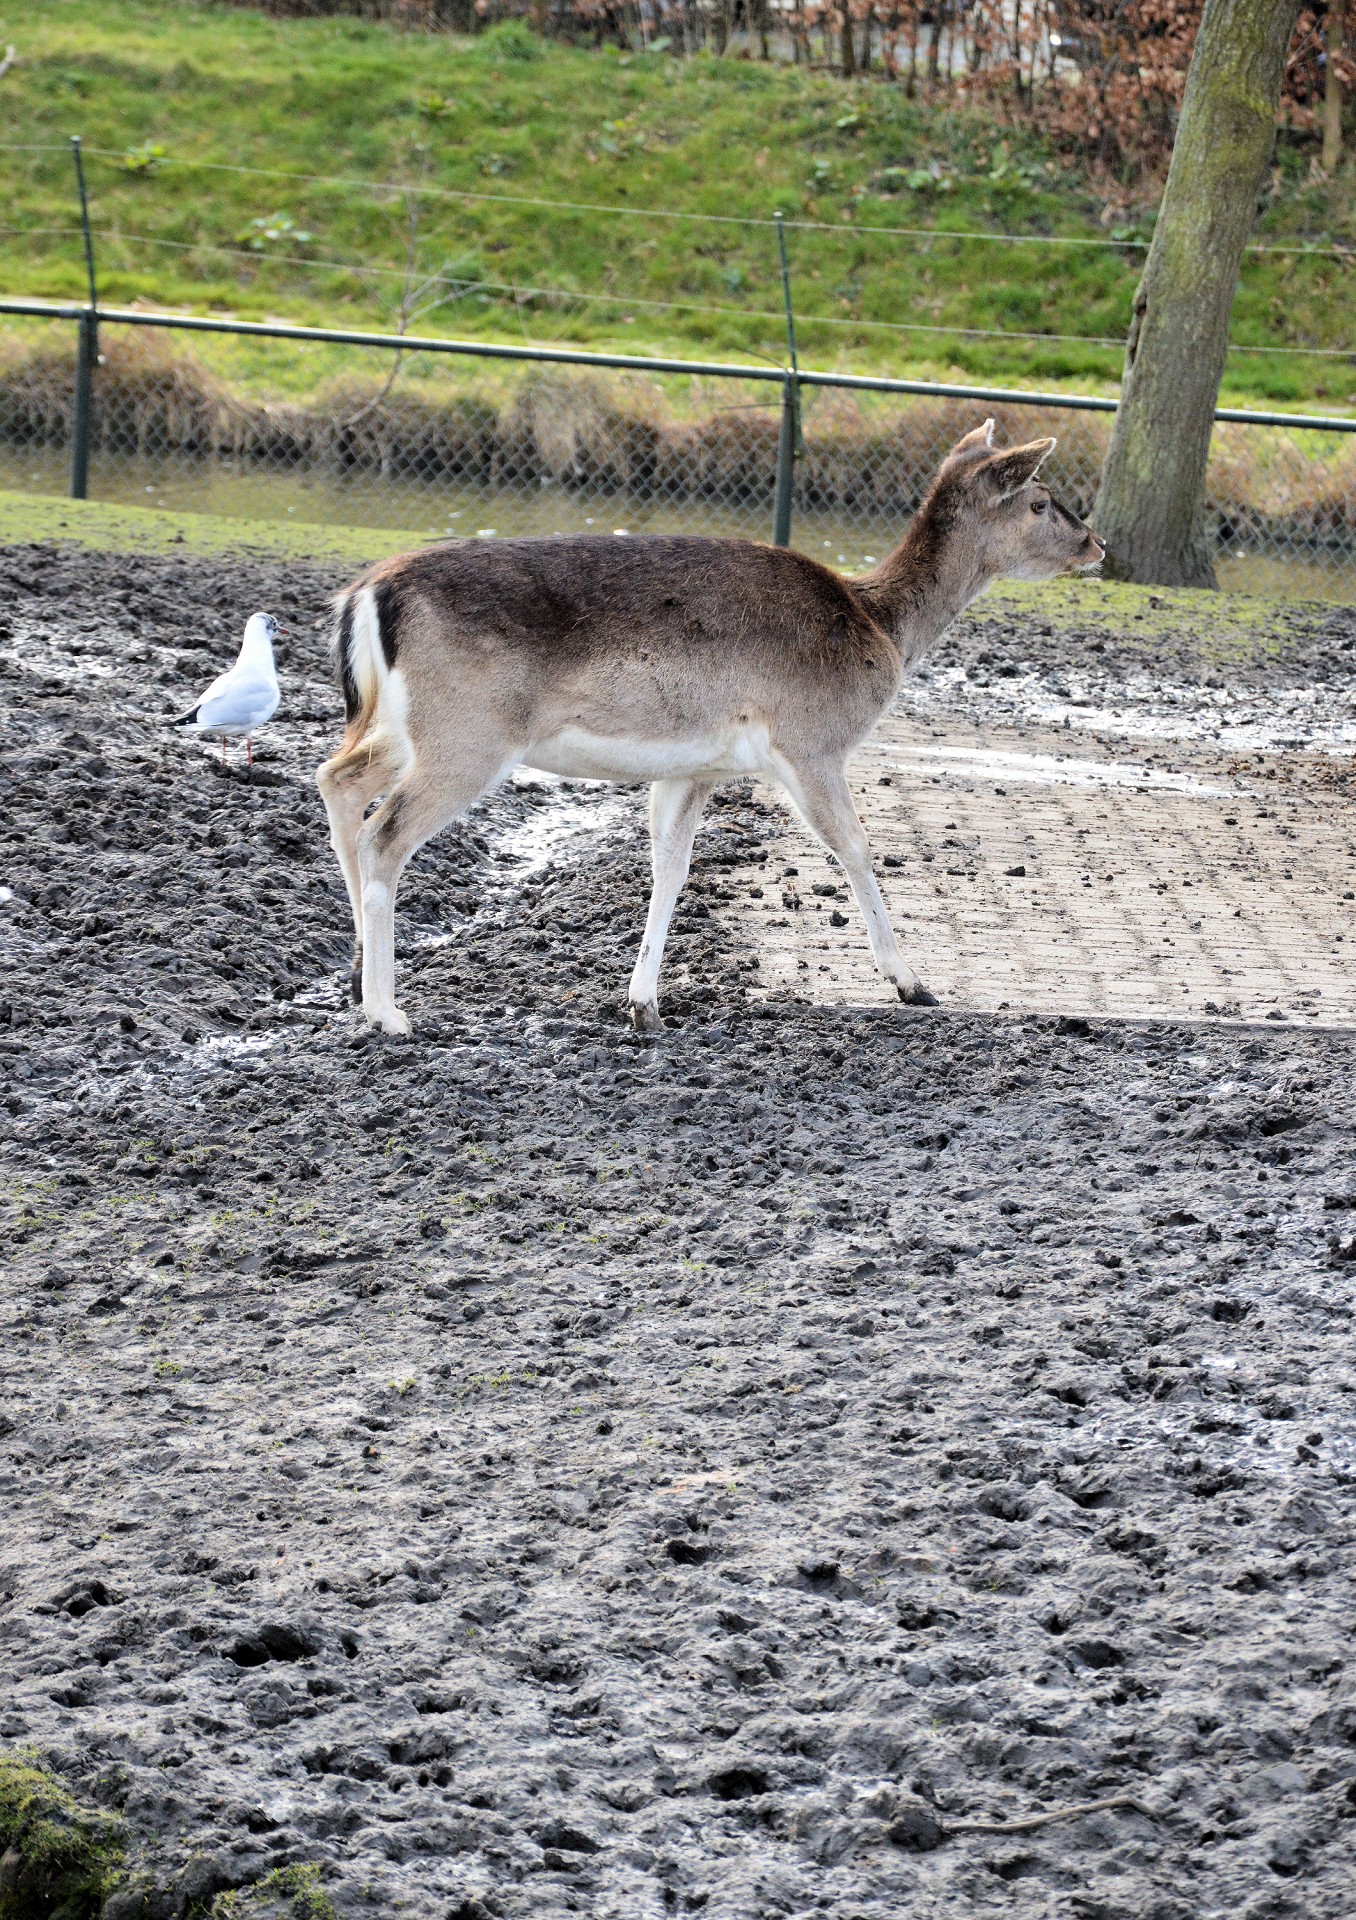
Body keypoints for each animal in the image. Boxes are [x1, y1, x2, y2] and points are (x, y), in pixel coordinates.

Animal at [314, 420, 1098, 1036]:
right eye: (1040, 500)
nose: (1096, 543)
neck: (879, 626)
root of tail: (366, 593)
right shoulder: (810, 741)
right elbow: (854, 847)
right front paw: (913, 984)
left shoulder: (695, 767)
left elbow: (671, 866)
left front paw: (644, 1005)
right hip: (468, 733)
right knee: (384, 832)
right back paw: (387, 1011)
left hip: (405, 726)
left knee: (338, 777)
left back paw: (354, 978)